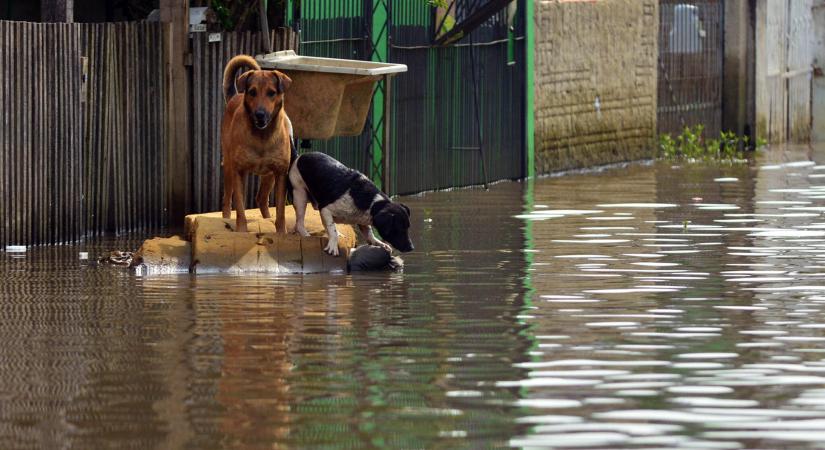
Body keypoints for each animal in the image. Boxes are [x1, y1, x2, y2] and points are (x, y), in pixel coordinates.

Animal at [222, 54, 292, 234]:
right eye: (252, 92)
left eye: (271, 93)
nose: (260, 114)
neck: (262, 136)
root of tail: (235, 95)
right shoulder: (239, 171)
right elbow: (240, 207)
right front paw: (241, 230)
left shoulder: (280, 173)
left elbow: (281, 210)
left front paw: (281, 232)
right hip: (229, 167)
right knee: (227, 198)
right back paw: (226, 218)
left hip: (269, 176)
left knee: (261, 198)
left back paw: (267, 218)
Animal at [288, 152, 416, 255]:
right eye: (399, 228)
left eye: (408, 227)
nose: (412, 248)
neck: (372, 203)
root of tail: (300, 156)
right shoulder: (326, 209)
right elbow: (332, 230)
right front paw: (333, 246)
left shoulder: (363, 221)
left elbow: (369, 233)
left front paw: (379, 243)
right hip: (300, 195)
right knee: (299, 222)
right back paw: (305, 235)